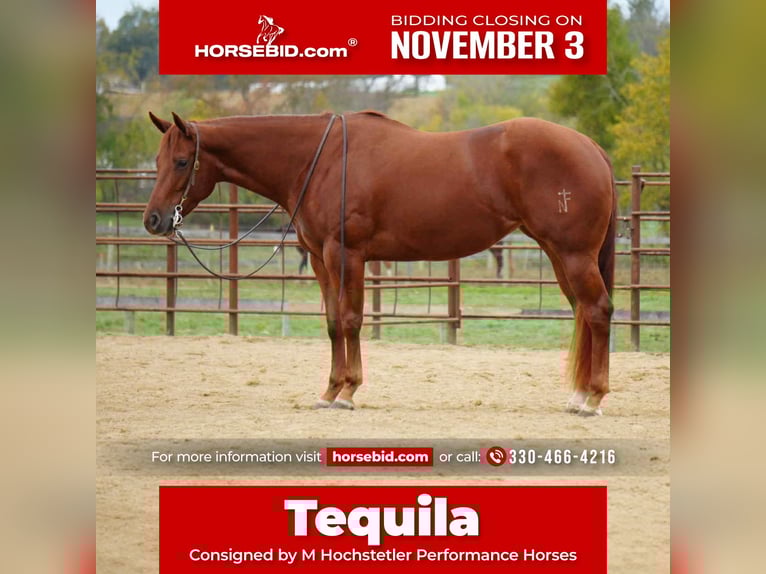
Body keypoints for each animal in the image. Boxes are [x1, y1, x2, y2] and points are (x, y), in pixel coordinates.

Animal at [143, 111, 616, 416]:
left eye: (182, 162)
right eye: (158, 160)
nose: (153, 220)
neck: (320, 159)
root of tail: (590, 146)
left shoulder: (345, 254)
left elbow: (352, 319)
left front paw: (348, 392)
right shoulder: (321, 260)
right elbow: (334, 322)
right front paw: (329, 391)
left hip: (573, 255)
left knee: (597, 311)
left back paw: (593, 398)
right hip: (559, 255)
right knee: (582, 313)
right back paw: (578, 396)